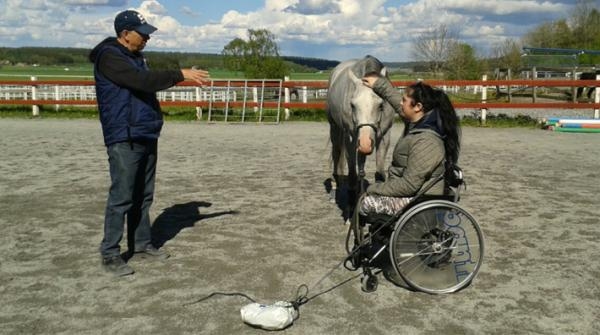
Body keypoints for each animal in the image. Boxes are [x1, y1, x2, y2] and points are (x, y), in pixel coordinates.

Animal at [326, 55, 396, 220]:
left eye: (381, 105)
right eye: (352, 105)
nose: (365, 143)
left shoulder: (384, 137)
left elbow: (379, 174)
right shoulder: (350, 139)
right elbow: (352, 175)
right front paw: (350, 212)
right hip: (335, 129)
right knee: (337, 156)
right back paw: (336, 190)